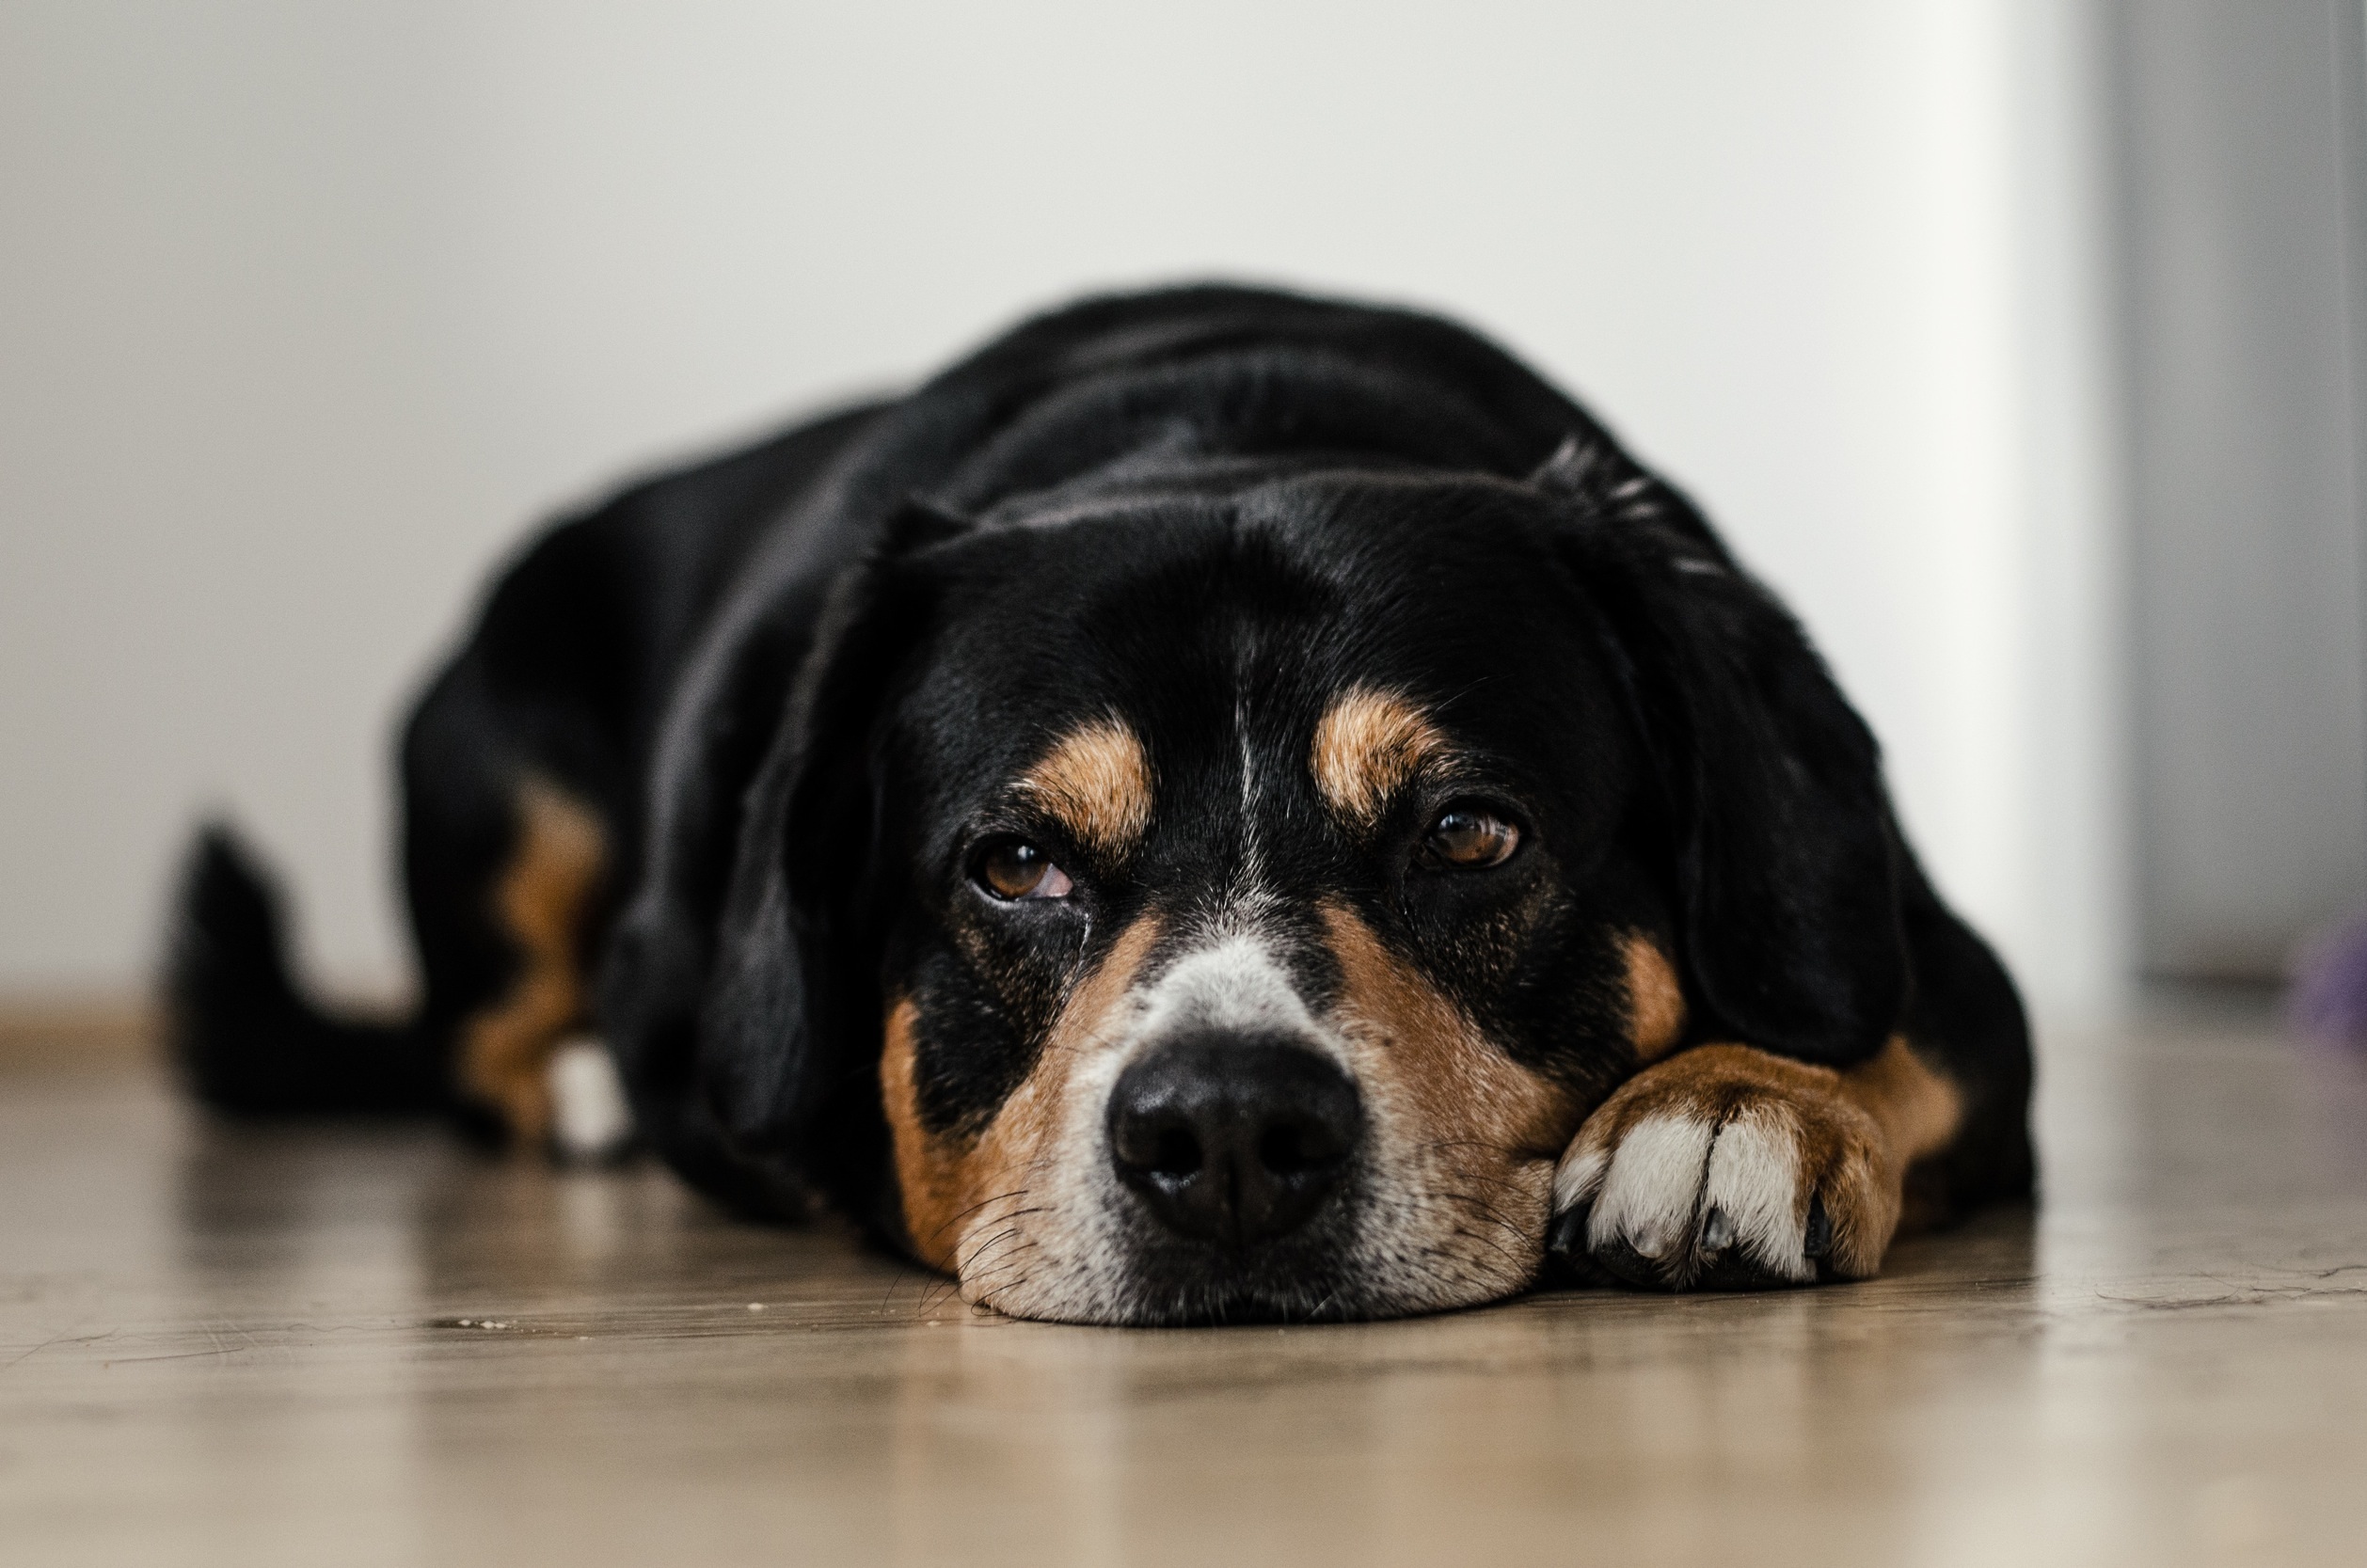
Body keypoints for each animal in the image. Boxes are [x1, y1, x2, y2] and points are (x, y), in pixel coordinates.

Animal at [180, 284, 2035, 1324]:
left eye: (1468, 833)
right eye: (1015, 864)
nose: (1226, 1133)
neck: (1227, 435)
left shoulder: (1934, 950)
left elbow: (1893, 1027)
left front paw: (1727, 1104)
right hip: (502, 776)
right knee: (478, 1034)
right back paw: (581, 1092)